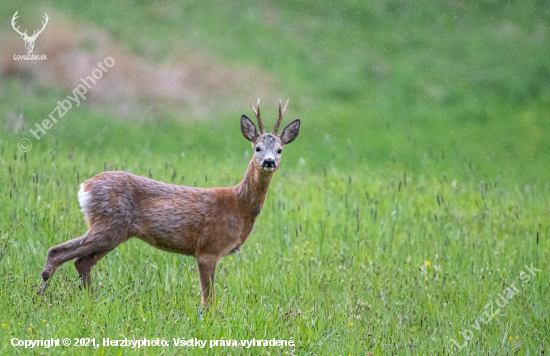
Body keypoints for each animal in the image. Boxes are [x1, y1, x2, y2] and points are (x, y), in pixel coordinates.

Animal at [41, 98, 302, 306]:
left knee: (81, 262)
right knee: (57, 252)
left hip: (114, 232)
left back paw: (90, 301)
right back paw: (41, 297)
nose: (269, 161)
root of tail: (84, 187)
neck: (238, 205)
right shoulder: (208, 248)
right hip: (108, 224)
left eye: (280, 150)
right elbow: (209, 300)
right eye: (257, 147)